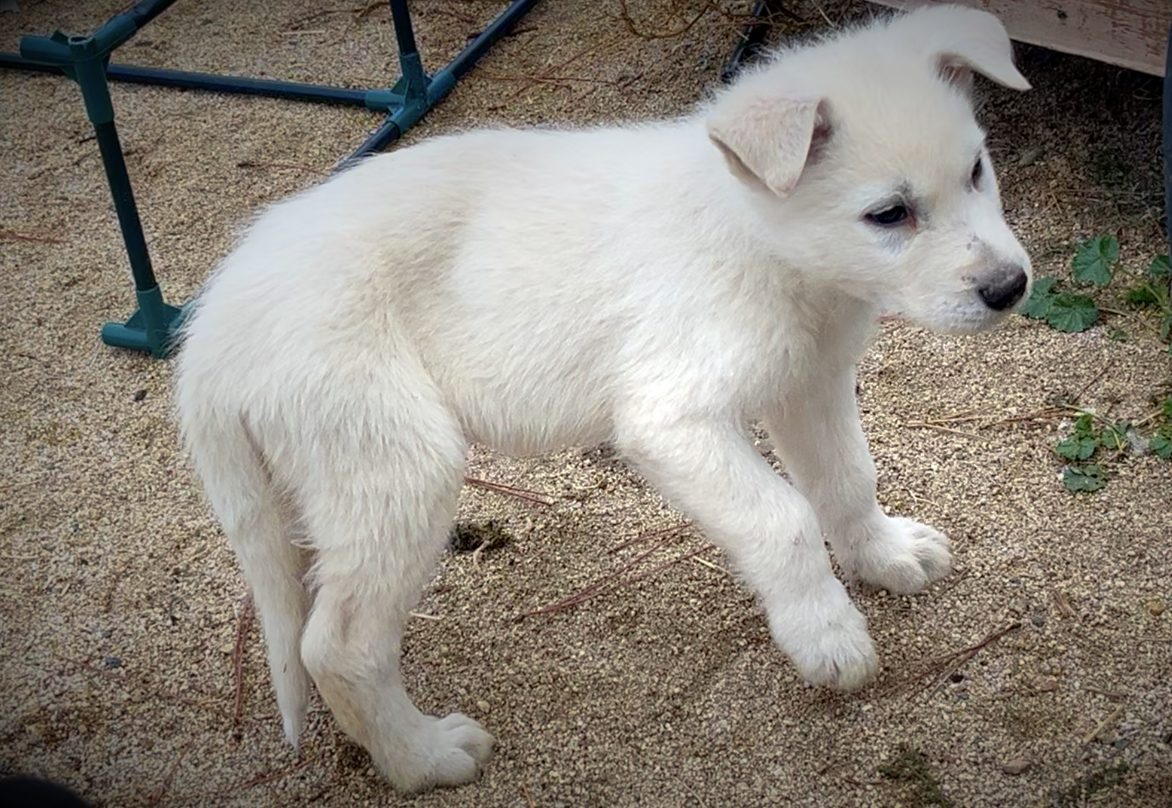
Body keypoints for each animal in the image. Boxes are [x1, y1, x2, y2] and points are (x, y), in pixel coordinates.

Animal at [171, 3, 1026, 792]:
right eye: (888, 214)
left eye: (977, 170)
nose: (1010, 288)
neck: (758, 239)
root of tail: (208, 336)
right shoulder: (669, 419)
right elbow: (781, 518)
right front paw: (826, 636)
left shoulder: (808, 382)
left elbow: (847, 479)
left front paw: (884, 555)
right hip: (398, 468)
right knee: (336, 646)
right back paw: (421, 758)